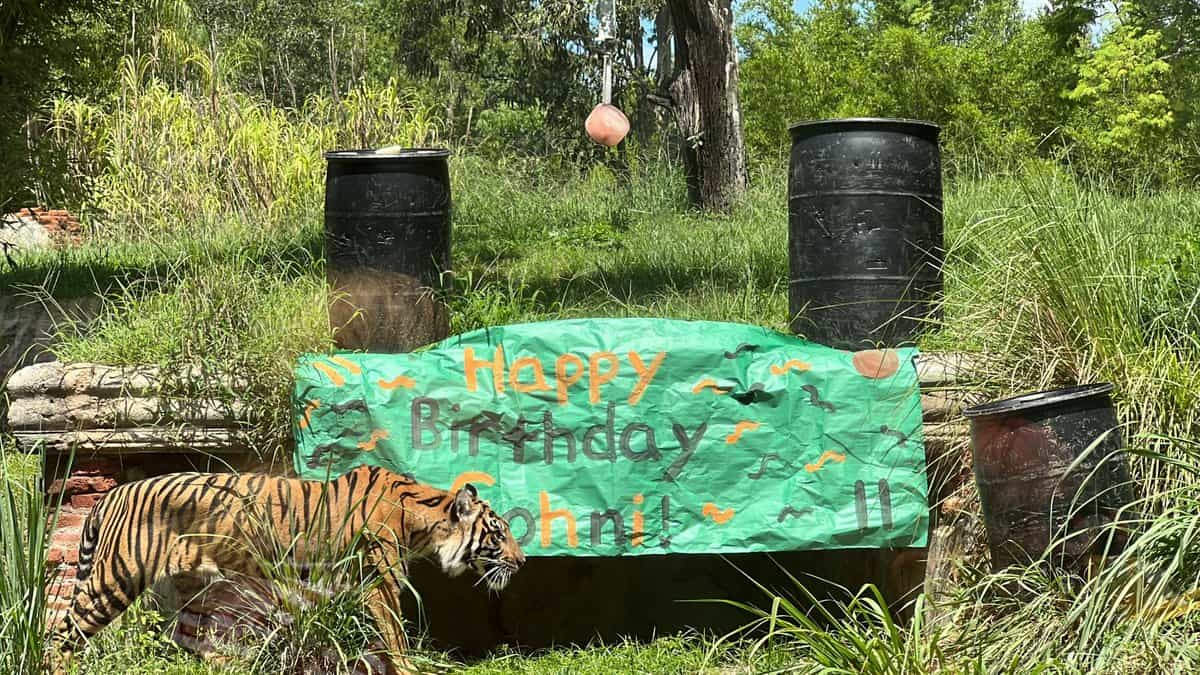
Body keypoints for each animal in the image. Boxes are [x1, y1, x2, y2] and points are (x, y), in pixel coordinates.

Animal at [48, 464, 525, 673]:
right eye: (499, 533)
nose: (521, 562)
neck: (424, 519)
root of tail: (111, 494)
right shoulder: (382, 581)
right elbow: (396, 636)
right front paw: (410, 669)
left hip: (191, 584)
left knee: (185, 635)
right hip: (114, 578)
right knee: (62, 633)